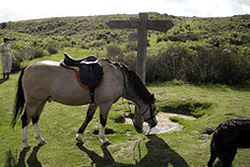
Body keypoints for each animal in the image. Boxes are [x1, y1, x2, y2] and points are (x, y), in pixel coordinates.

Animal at [11, 56, 157, 151]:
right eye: (154, 108)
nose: (154, 123)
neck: (119, 76)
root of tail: (28, 67)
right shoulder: (105, 104)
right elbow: (103, 121)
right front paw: (103, 139)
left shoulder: (95, 103)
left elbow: (88, 117)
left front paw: (79, 137)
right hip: (33, 102)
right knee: (25, 118)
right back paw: (26, 143)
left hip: (41, 101)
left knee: (35, 118)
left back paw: (40, 140)